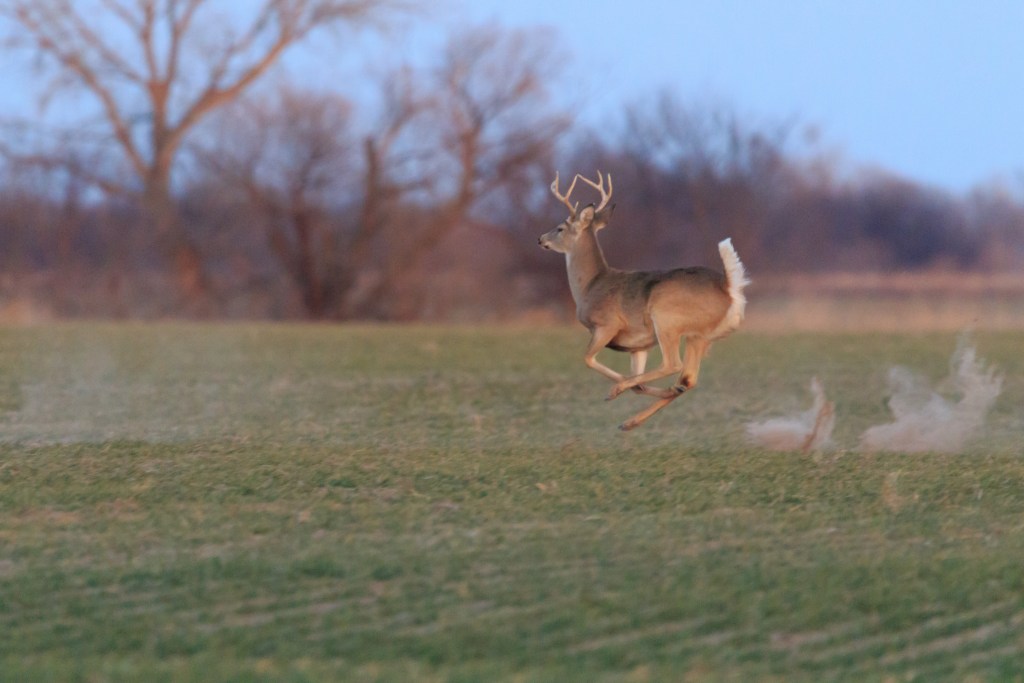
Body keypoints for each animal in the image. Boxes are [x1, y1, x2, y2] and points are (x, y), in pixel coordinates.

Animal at [540, 171, 749, 430]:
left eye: (560, 228)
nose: (540, 239)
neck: (590, 285)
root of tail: (728, 287)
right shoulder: (638, 347)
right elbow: (636, 378)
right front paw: (634, 389)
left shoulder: (607, 325)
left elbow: (588, 359)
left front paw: (616, 390)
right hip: (699, 336)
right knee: (688, 379)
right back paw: (632, 420)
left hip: (667, 319)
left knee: (673, 364)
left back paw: (623, 393)